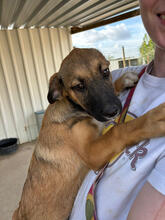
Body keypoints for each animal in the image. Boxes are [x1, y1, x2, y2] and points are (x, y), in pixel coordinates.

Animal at [13, 48, 165, 220]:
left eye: (106, 71)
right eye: (79, 86)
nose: (113, 111)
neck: (76, 108)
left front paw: (122, 80)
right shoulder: (91, 153)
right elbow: (119, 130)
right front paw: (152, 119)